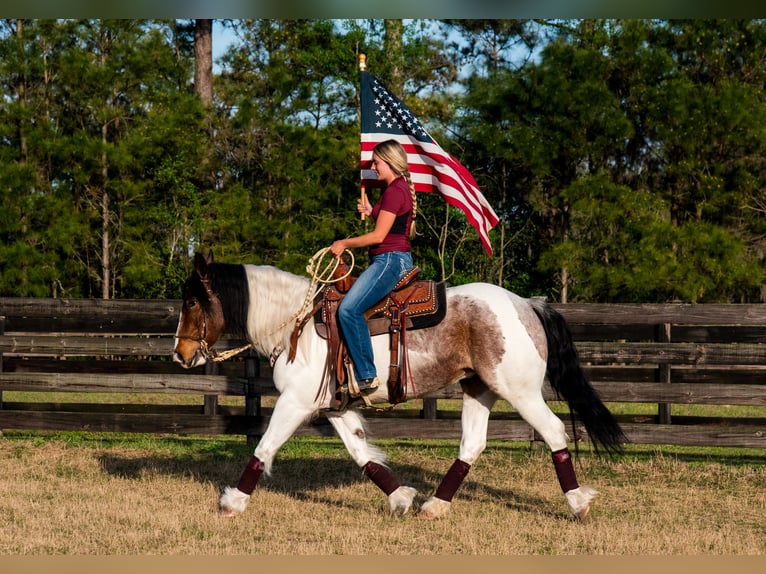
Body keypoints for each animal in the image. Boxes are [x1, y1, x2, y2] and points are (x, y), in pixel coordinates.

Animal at [177, 252, 628, 520]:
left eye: (193, 301)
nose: (181, 355)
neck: (297, 326)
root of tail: (527, 304)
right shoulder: (334, 405)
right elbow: (362, 454)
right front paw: (400, 498)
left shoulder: (296, 402)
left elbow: (263, 448)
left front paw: (233, 500)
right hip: (478, 389)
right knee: (472, 445)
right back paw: (434, 505)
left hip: (520, 391)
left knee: (553, 431)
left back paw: (578, 503)